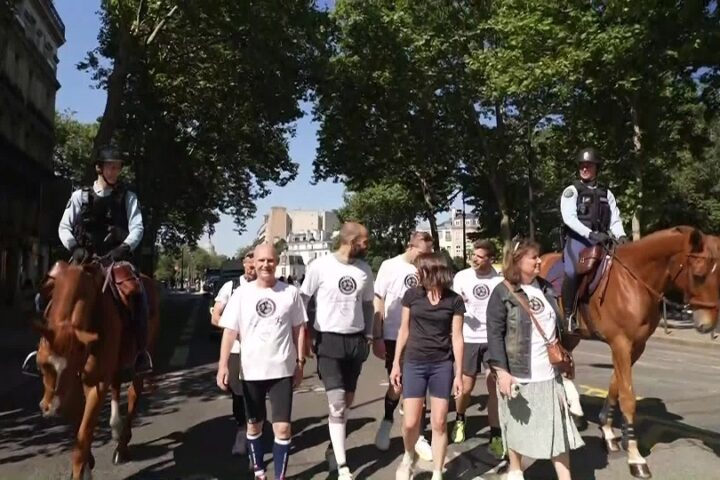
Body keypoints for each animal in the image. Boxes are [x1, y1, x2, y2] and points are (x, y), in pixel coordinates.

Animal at [29, 261, 160, 480]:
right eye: (41, 365)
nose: (50, 408)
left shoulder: (94, 382)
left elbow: (85, 431)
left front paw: (82, 469)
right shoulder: (71, 385)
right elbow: (79, 430)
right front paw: (87, 462)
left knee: (133, 393)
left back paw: (122, 445)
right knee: (116, 384)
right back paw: (115, 427)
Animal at [539, 226, 719, 479]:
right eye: (699, 274)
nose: (708, 324)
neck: (635, 283)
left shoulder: (635, 346)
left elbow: (616, 385)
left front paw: (609, 431)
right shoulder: (621, 343)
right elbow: (627, 397)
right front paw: (635, 456)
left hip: (571, 335)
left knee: (565, 366)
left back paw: (576, 413)